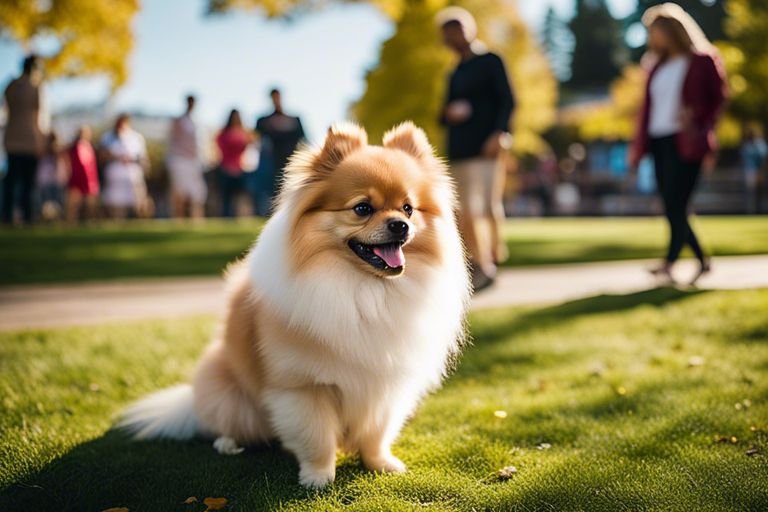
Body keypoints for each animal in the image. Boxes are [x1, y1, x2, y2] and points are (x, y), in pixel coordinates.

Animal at [118, 120, 472, 488]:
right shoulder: (303, 387)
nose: (400, 225)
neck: (365, 289)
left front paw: (380, 463)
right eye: (362, 208)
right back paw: (228, 443)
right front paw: (317, 477)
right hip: (229, 391)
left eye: (408, 208)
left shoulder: (385, 386)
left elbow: (376, 432)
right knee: (224, 423)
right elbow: (317, 437)